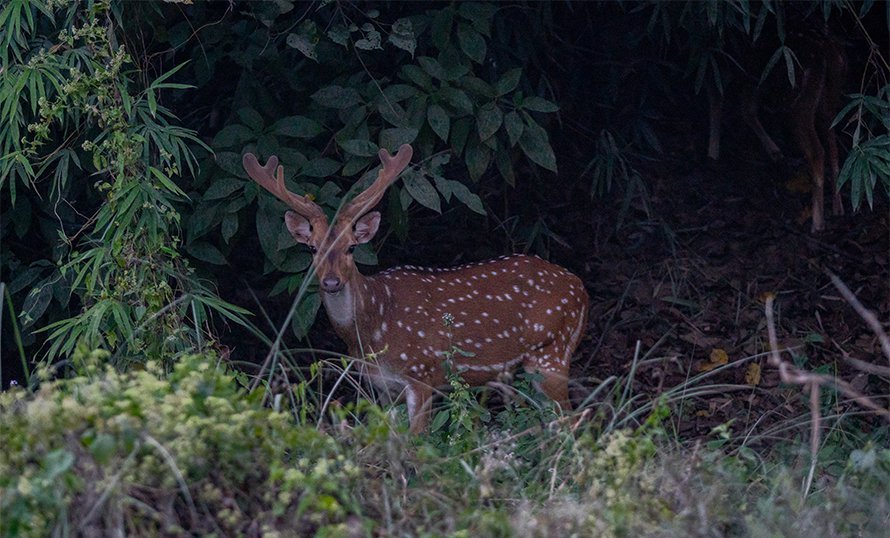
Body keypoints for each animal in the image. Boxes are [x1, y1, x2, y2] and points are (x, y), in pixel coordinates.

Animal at [243, 144, 588, 434]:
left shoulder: (423, 373)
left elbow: (417, 441)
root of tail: (581, 288)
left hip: (552, 352)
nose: (331, 282)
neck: (373, 327)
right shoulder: (382, 387)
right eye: (313, 248)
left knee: (571, 420)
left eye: (351, 247)